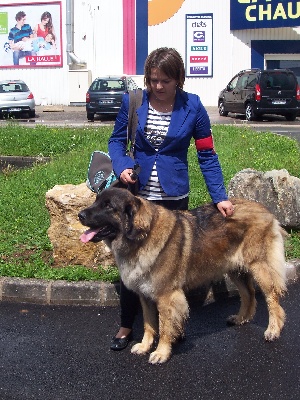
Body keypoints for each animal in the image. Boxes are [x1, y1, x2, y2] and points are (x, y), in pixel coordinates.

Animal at [78, 188, 288, 362]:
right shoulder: (145, 295)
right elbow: (149, 323)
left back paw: (273, 330)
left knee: (272, 297)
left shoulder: (165, 296)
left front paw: (161, 352)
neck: (141, 238)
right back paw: (241, 318)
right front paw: (145, 346)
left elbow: (164, 326)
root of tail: (265, 209)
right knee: (248, 294)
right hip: (235, 268)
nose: (80, 215)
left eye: (108, 206)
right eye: (96, 201)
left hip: (259, 266)